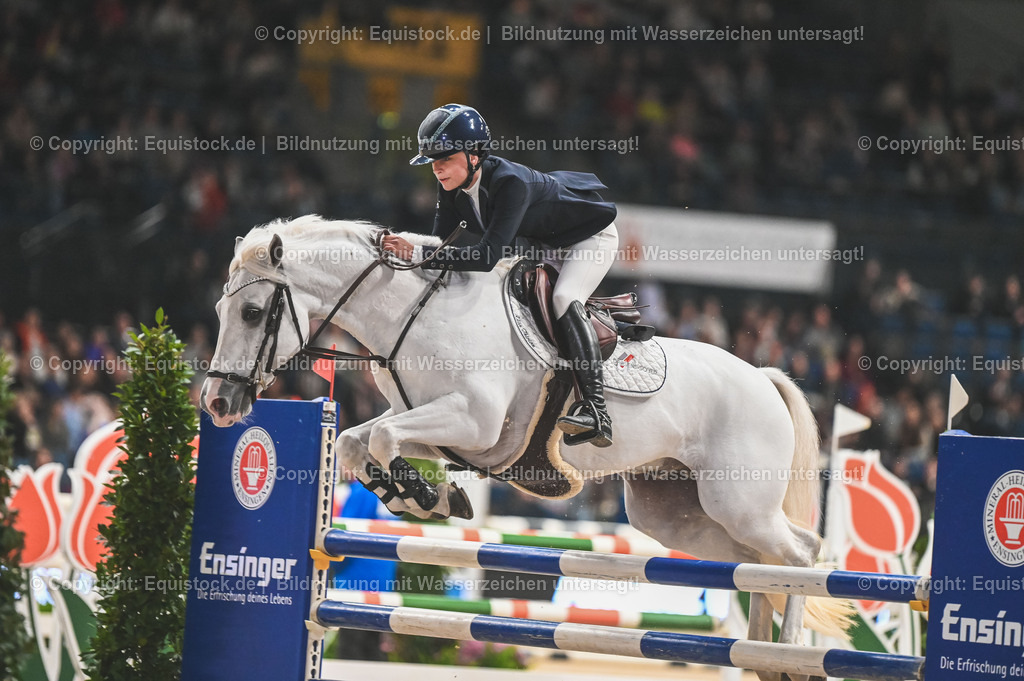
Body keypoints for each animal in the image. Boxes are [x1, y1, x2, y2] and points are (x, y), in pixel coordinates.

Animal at [200, 216, 851, 681]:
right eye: (220, 309)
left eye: (253, 312)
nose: (218, 405)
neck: (412, 312)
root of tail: (762, 375)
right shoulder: (444, 429)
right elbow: (364, 442)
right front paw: (425, 496)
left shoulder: (475, 423)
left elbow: (381, 437)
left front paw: (426, 497)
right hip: (676, 515)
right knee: (759, 564)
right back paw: (764, 656)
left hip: (737, 500)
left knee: (800, 554)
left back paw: (790, 654)